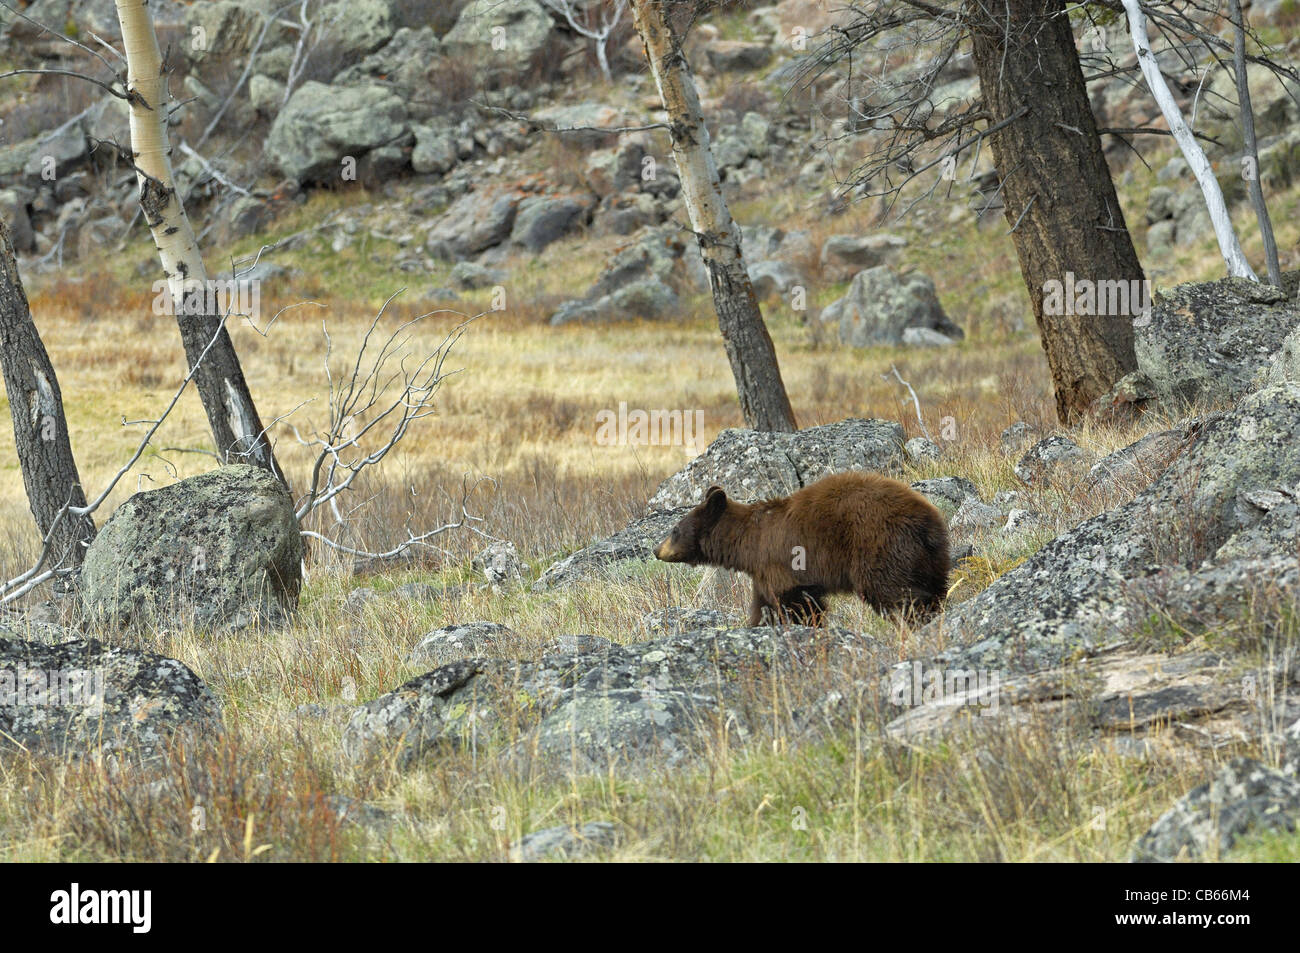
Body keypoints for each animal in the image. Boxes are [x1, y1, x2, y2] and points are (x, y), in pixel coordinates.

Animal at [655, 468, 951, 624]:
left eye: (674, 529)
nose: (656, 550)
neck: (750, 542)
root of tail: (926, 520)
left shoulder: (780, 565)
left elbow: (796, 603)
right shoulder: (762, 574)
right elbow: (762, 607)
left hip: (880, 546)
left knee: (893, 592)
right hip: (932, 558)